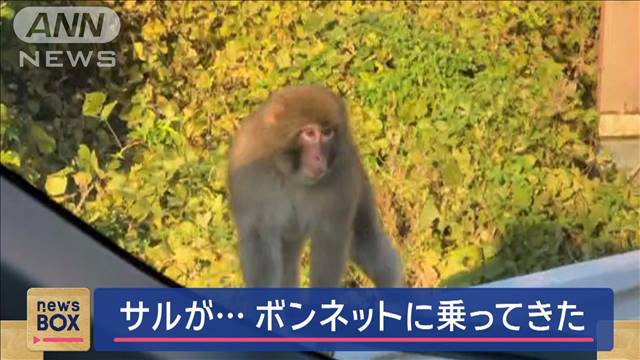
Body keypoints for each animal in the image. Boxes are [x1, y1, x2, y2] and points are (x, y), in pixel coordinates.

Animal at [228, 83, 402, 286]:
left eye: (327, 133)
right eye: (309, 133)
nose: (319, 157)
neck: (292, 175)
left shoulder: (341, 177)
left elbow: (329, 242)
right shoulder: (249, 174)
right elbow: (259, 240)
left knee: (366, 241)